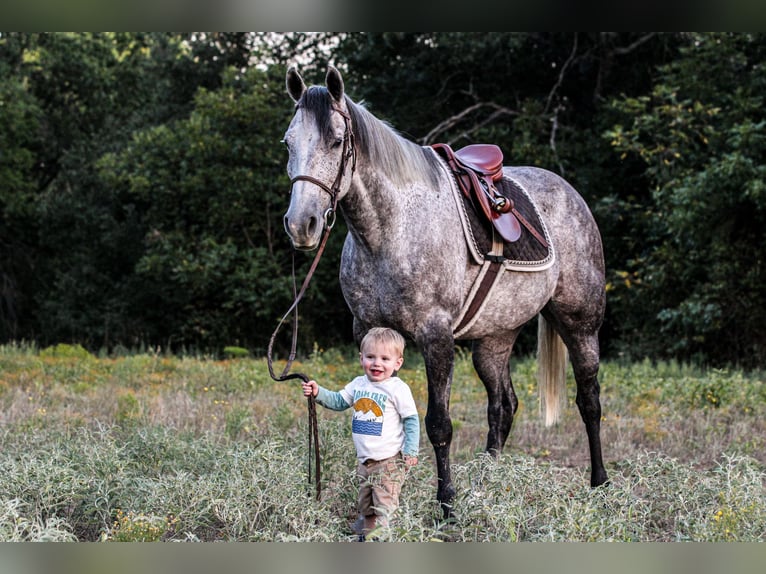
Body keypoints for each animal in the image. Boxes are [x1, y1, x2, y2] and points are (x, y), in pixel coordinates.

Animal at [280, 65, 608, 516]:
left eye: (336, 140)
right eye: (288, 142)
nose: (302, 225)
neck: (391, 229)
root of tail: (570, 193)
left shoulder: (436, 338)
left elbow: (439, 424)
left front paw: (447, 503)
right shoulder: (367, 330)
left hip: (580, 325)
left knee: (589, 400)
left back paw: (600, 483)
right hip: (494, 340)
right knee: (502, 406)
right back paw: (488, 481)